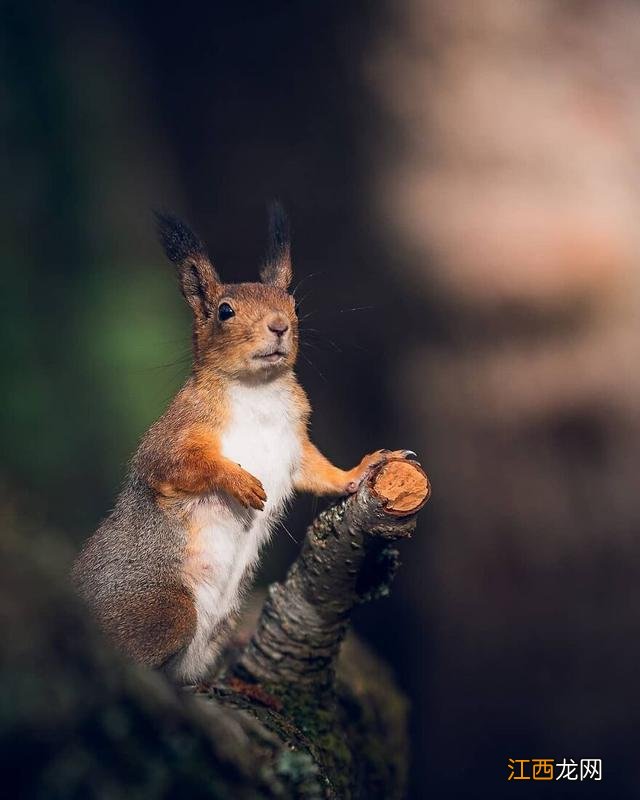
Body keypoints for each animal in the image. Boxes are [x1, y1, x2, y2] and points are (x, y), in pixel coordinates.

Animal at [74, 203, 416, 684]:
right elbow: (176, 464)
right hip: (164, 612)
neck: (259, 392)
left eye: (293, 303)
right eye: (224, 311)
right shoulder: (174, 433)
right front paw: (238, 482)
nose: (280, 326)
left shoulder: (294, 446)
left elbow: (321, 473)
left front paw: (364, 468)